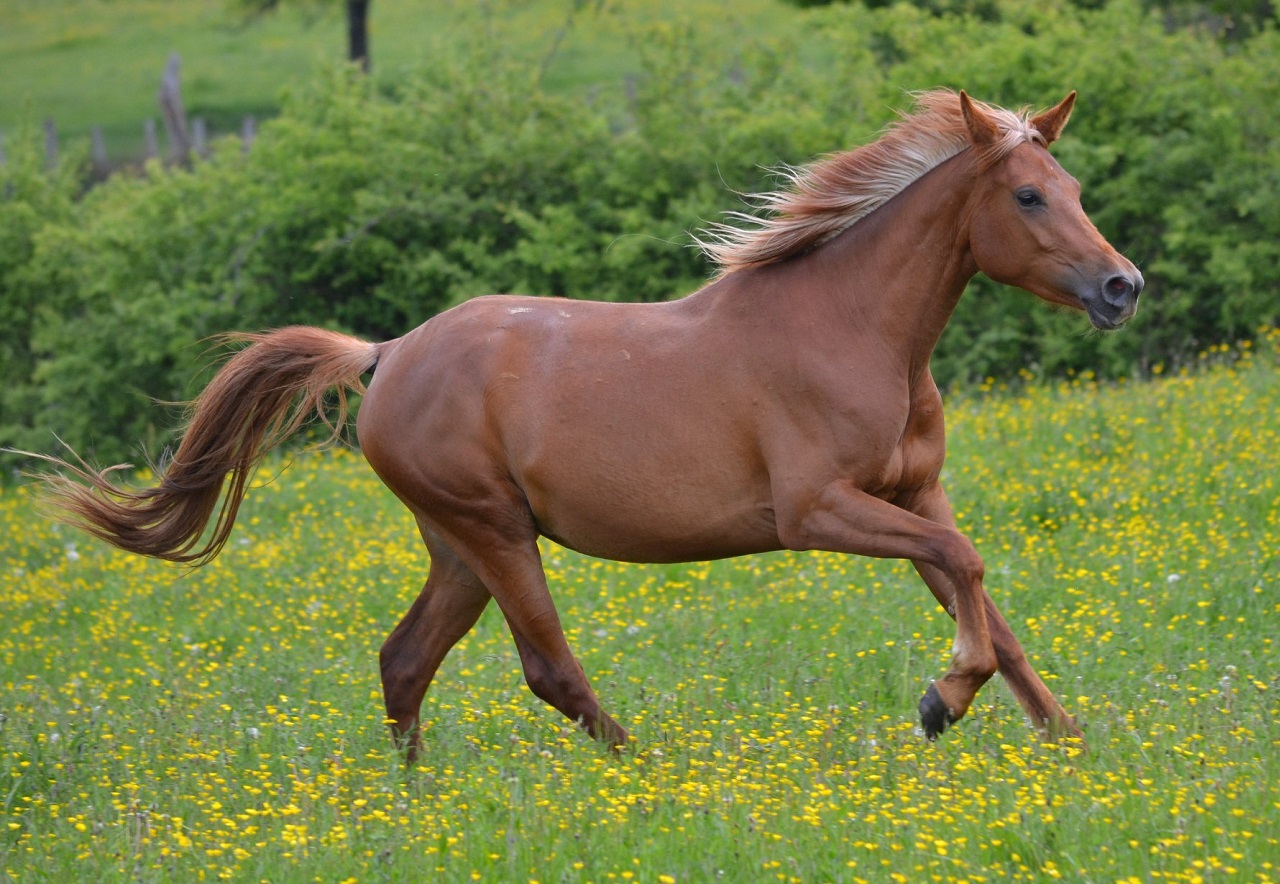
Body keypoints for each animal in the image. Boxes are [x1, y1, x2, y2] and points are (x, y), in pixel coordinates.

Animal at [35, 90, 1146, 762]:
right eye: (1027, 195)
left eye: (1076, 188)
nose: (1121, 286)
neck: (852, 328)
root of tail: (386, 354)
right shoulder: (816, 510)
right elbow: (965, 571)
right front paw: (939, 702)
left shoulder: (914, 491)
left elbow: (982, 595)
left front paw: (1066, 739)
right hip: (494, 531)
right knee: (546, 667)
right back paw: (640, 770)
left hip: (456, 545)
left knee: (404, 660)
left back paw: (414, 800)